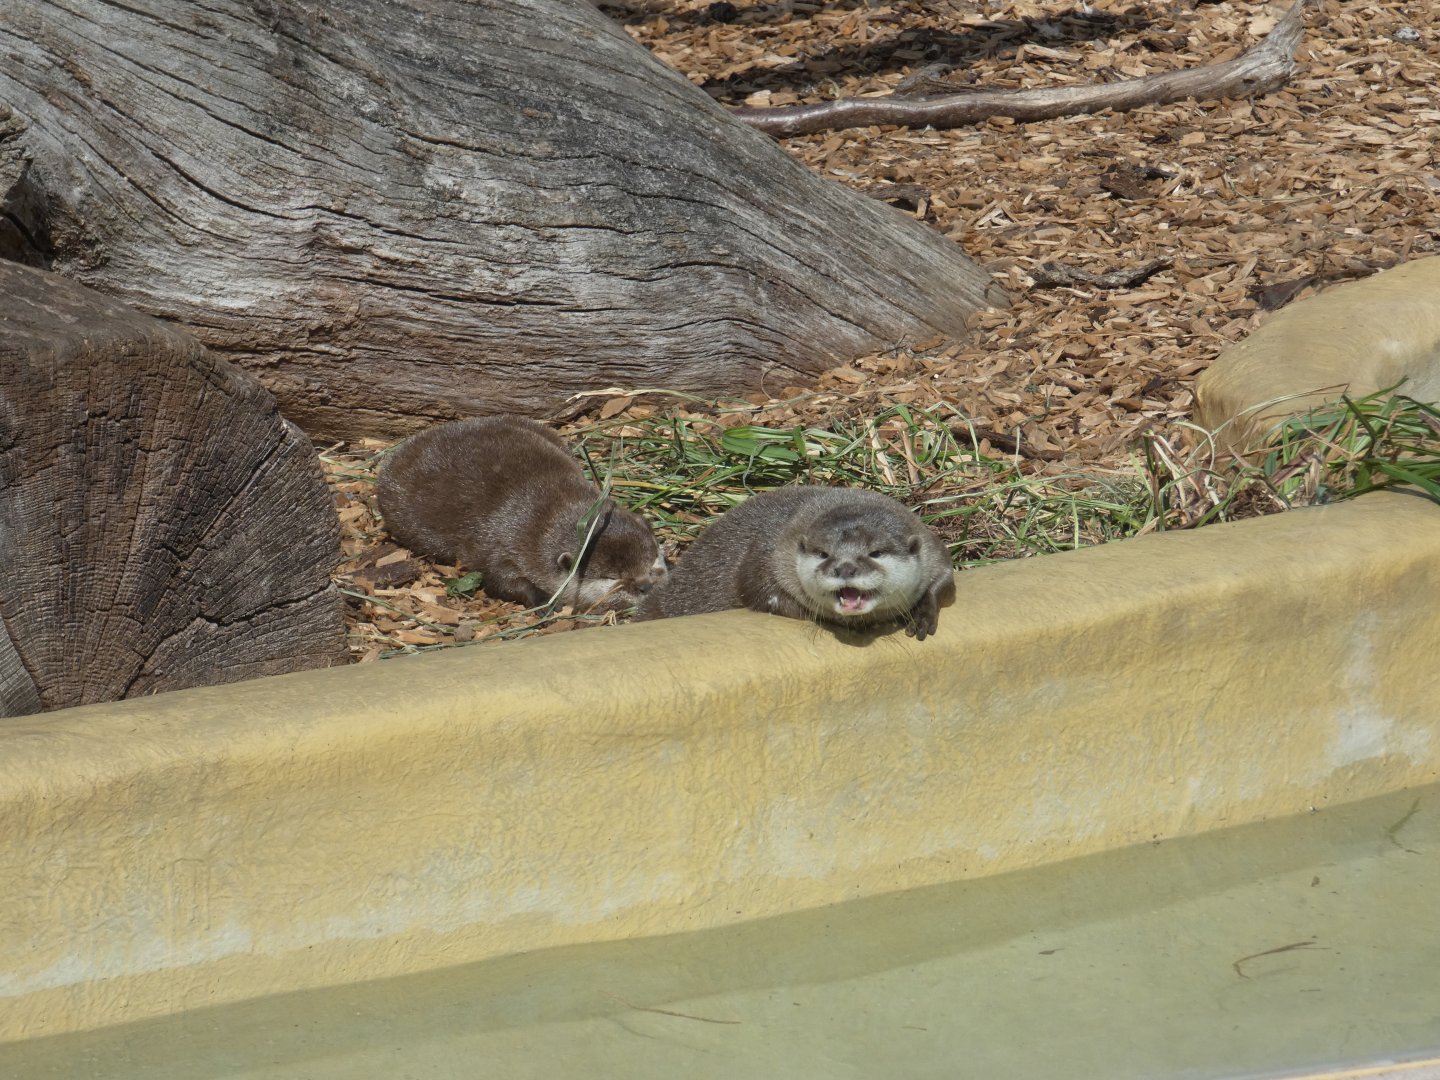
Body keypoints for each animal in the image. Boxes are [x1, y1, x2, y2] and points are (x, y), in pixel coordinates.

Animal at [376, 417, 666, 612]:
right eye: (613, 578)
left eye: (652, 560)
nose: (646, 586)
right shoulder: (501, 544)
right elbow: (499, 578)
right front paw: (543, 600)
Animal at [639, 485, 955, 639]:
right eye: (824, 553)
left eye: (875, 553)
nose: (845, 567)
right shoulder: (769, 553)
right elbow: (763, 594)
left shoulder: (930, 545)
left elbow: (945, 577)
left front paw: (923, 614)